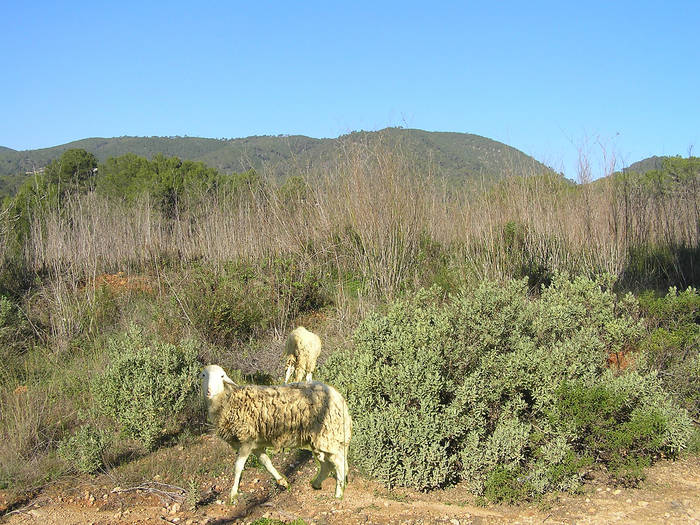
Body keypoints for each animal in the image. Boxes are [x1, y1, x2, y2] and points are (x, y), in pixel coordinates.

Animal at [200, 362, 352, 502]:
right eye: (203, 375)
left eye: (221, 376)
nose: (208, 391)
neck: (227, 401)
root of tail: (339, 397)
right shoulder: (256, 444)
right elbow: (266, 463)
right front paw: (282, 481)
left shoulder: (246, 439)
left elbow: (238, 467)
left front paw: (233, 495)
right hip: (320, 439)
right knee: (326, 464)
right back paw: (316, 484)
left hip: (327, 435)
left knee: (339, 464)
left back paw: (338, 494)